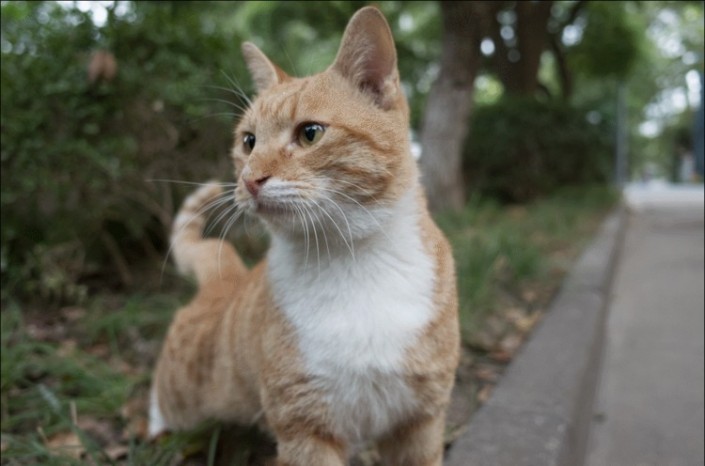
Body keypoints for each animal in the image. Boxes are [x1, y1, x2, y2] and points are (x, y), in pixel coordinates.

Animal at [151, 7, 460, 466]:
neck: (352, 259)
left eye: (310, 133)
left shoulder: (419, 422)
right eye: (248, 141)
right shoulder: (305, 427)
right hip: (182, 395)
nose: (249, 179)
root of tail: (226, 279)